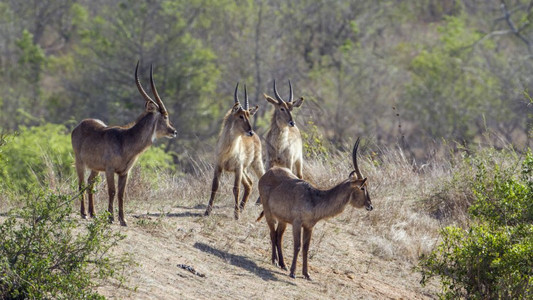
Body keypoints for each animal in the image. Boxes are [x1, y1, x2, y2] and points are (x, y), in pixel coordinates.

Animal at [70, 62, 177, 226]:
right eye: (165, 116)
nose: (174, 131)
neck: (125, 140)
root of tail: (79, 125)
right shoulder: (109, 170)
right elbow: (112, 191)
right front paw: (111, 217)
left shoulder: (125, 172)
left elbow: (121, 194)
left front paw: (123, 219)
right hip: (80, 162)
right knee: (82, 184)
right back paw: (84, 213)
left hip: (95, 168)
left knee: (90, 183)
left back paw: (93, 213)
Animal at [204, 83, 264, 219]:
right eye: (240, 116)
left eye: (248, 115)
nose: (250, 132)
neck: (228, 149)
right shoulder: (218, 166)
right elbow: (214, 186)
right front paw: (207, 211)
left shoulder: (238, 168)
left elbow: (236, 189)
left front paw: (236, 215)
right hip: (244, 169)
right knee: (249, 183)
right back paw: (241, 208)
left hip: (255, 163)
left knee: (259, 179)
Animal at [256, 138, 372, 278]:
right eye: (363, 187)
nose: (370, 205)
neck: (314, 198)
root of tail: (268, 172)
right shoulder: (297, 223)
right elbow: (297, 246)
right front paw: (293, 272)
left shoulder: (309, 226)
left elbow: (306, 248)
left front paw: (306, 274)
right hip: (269, 213)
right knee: (273, 234)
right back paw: (275, 261)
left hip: (283, 220)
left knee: (279, 236)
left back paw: (283, 264)